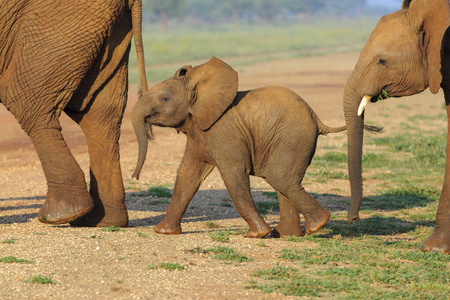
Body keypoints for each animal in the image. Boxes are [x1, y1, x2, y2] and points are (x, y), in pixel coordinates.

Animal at [0, 0, 149, 225]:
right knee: (100, 116)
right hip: (111, 31)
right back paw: (101, 221)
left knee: (25, 100)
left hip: (58, 23)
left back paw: (61, 214)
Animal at [132, 57, 378, 238]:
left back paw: (316, 225)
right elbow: (187, 175)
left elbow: (233, 176)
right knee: (284, 180)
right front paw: (163, 232)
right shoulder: (199, 133)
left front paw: (256, 235)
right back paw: (287, 235)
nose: (135, 177)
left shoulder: (223, 132)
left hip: (292, 137)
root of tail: (317, 119)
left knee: (280, 178)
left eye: (164, 99)